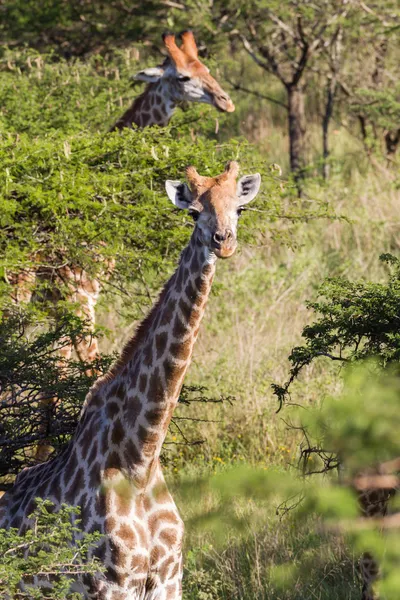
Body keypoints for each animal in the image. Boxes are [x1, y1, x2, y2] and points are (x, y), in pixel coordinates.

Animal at [0, 161, 260, 600]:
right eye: (194, 213)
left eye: (238, 209)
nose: (223, 242)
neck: (140, 457)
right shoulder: (110, 584)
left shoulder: (169, 581)